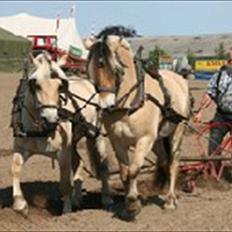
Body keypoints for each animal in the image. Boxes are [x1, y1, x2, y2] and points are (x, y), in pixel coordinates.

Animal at [11, 52, 112, 216]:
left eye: (60, 86)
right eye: (35, 84)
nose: (51, 118)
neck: (41, 128)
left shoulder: (63, 152)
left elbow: (64, 182)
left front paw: (66, 211)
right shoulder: (20, 147)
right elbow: (15, 168)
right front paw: (20, 205)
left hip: (95, 133)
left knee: (102, 165)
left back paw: (107, 199)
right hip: (74, 140)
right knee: (79, 162)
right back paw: (77, 199)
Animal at [85, 34, 192, 219]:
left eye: (117, 70)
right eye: (90, 72)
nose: (105, 105)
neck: (128, 104)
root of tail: (179, 79)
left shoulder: (144, 139)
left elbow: (134, 169)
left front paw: (133, 203)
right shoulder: (117, 141)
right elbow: (124, 172)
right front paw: (127, 205)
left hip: (176, 132)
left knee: (173, 162)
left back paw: (170, 200)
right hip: (158, 140)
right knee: (164, 160)